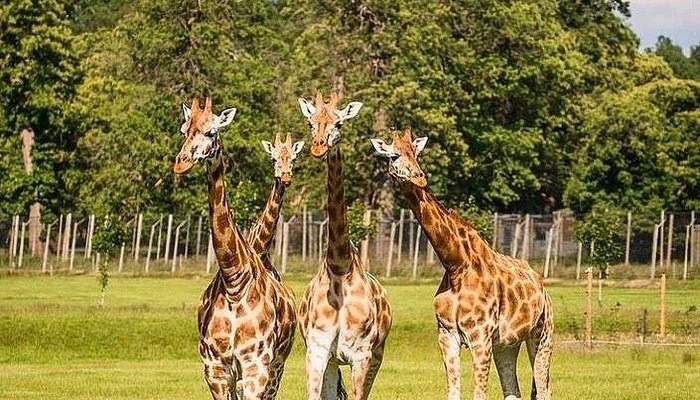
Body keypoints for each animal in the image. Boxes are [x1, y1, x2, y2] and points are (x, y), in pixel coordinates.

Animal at [173, 97, 297, 400]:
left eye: (211, 132)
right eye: (183, 130)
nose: (181, 163)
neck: (234, 280)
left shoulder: (256, 366)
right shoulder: (215, 369)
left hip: (276, 367)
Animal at [296, 91, 393, 400]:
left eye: (339, 123)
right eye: (310, 122)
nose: (318, 146)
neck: (340, 266)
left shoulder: (361, 355)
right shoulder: (317, 351)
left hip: (377, 355)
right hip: (332, 361)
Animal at [371, 129, 553, 400]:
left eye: (417, 153)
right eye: (394, 155)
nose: (420, 177)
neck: (456, 265)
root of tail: (543, 287)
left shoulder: (480, 337)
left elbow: (479, 394)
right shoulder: (447, 336)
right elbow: (454, 392)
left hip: (542, 334)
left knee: (543, 389)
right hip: (507, 344)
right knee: (513, 390)